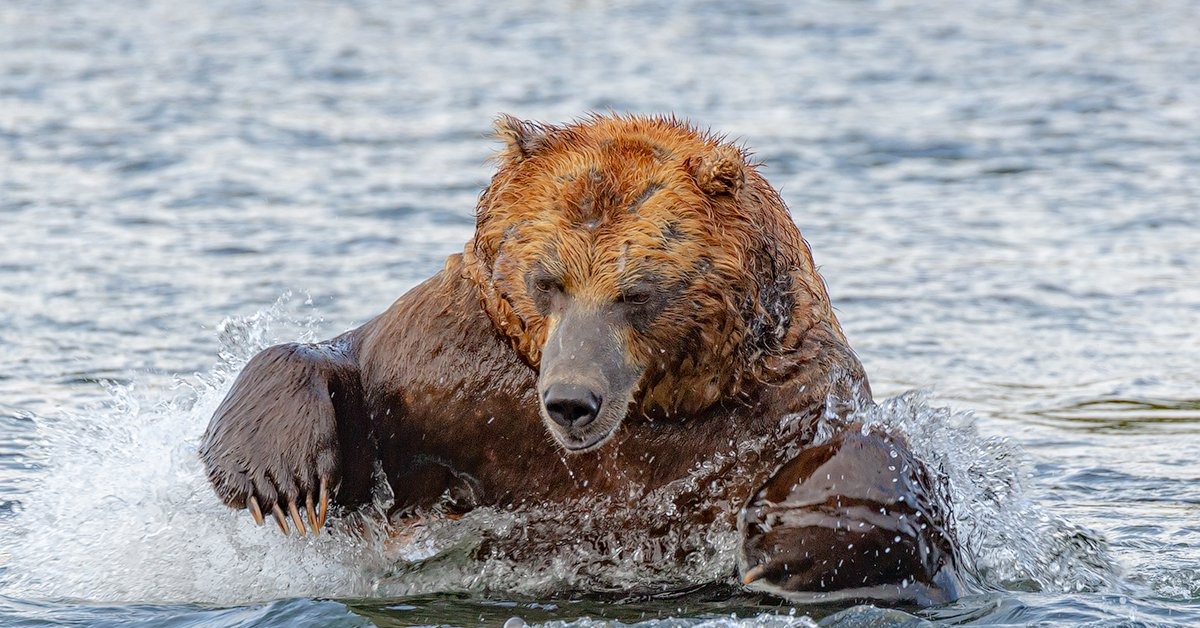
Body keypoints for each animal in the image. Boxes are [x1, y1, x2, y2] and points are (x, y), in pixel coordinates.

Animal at [201, 112, 940, 600]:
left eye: (637, 291)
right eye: (547, 280)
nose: (571, 401)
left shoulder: (774, 408)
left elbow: (877, 469)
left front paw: (792, 542)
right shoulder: (448, 372)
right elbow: (340, 383)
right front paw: (284, 481)